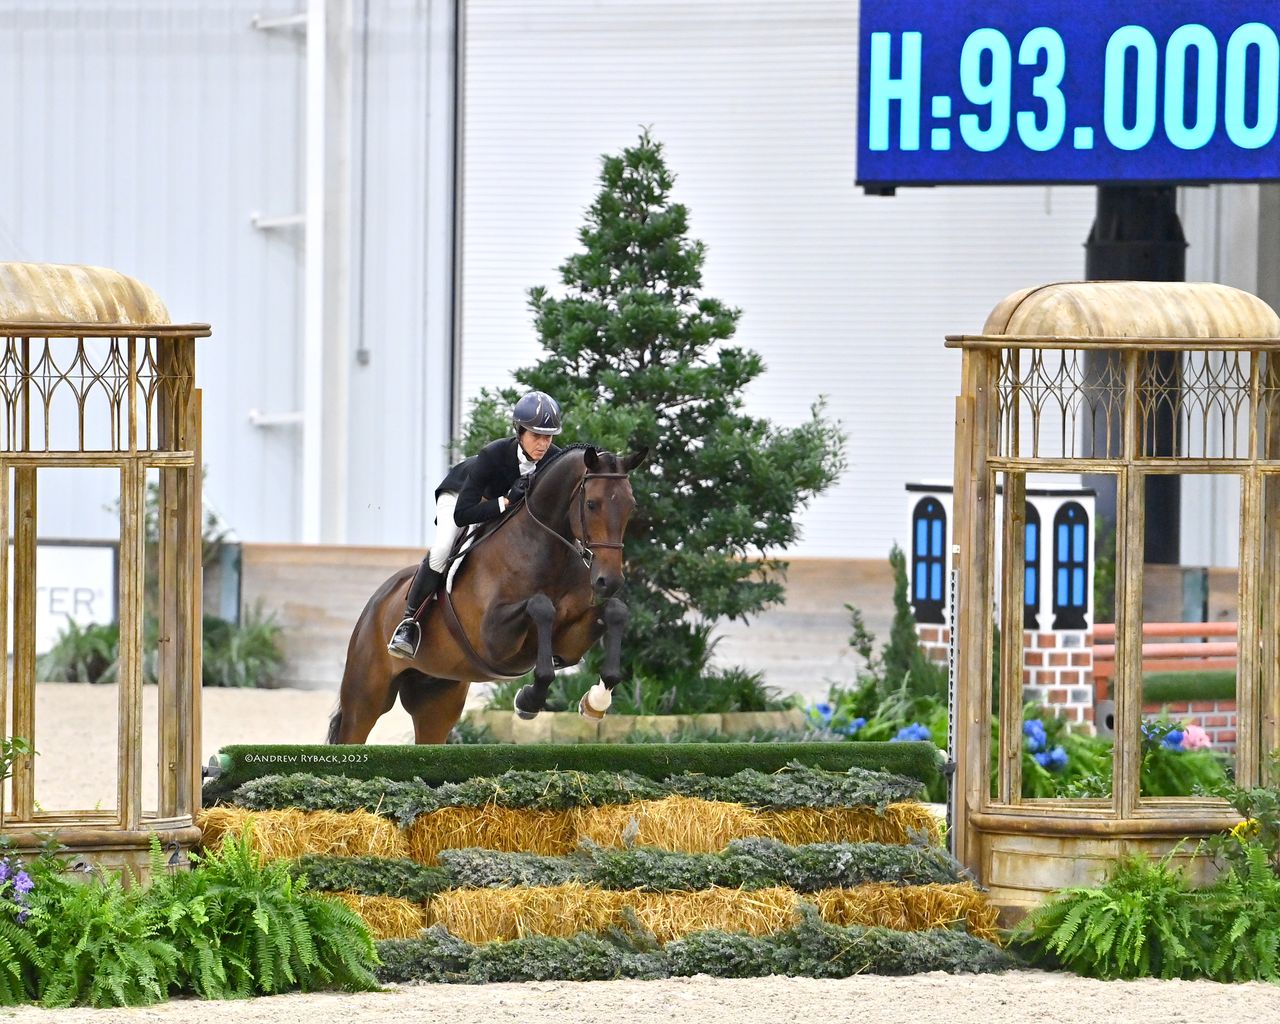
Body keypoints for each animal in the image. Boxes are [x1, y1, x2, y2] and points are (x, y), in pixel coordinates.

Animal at [327, 444, 647, 744]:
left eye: (631, 505)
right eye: (592, 504)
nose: (609, 581)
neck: (546, 549)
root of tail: (376, 601)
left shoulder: (570, 640)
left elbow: (616, 611)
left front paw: (595, 703)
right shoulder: (494, 639)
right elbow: (541, 606)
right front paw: (529, 699)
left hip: (437, 698)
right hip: (367, 697)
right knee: (354, 729)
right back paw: (404, 635)